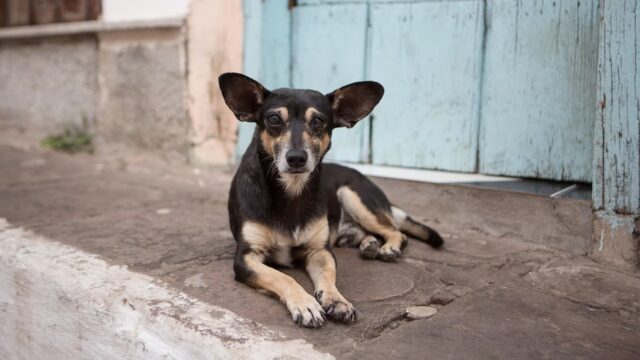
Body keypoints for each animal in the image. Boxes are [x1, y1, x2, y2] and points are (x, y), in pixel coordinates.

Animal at [218, 71, 442, 328]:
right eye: (274, 119)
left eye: (318, 121)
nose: (296, 158)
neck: (291, 191)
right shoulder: (246, 258)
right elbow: (282, 277)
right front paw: (306, 304)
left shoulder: (319, 251)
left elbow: (328, 276)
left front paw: (337, 300)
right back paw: (369, 245)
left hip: (354, 196)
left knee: (396, 231)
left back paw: (388, 247)